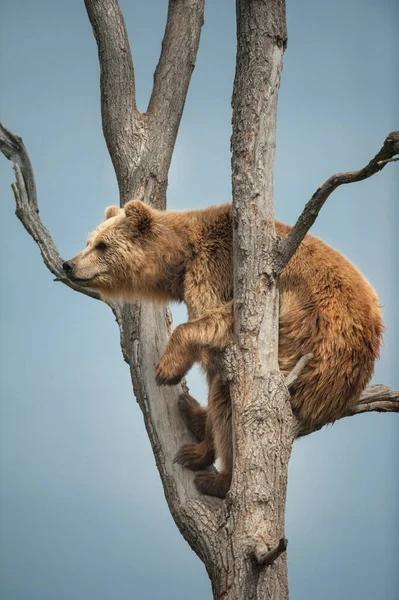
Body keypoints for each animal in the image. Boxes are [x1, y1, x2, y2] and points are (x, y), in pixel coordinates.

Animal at [63, 199, 384, 500]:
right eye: (89, 241)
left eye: (102, 245)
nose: (69, 264)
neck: (180, 261)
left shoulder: (221, 271)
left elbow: (221, 323)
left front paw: (167, 370)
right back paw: (193, 413)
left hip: (302, 355)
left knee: (226, 397)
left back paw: (216, 474)